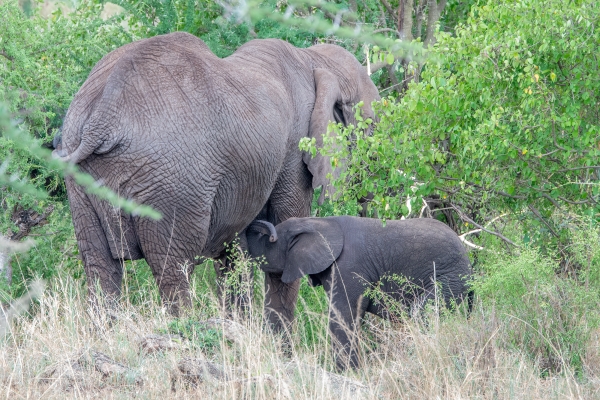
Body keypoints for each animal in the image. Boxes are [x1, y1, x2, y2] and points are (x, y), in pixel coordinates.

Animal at [54, 32, 378, 330]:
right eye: (370, 128)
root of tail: (101, 117)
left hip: (83, 183)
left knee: (100, 266)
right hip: (173, 184)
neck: (315, 60)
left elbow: (237, 249)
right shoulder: (294, 153)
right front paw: (279, 345)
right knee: (173, 269)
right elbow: (285, 230)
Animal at [246, 217, 472, 370]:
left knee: (420, 314)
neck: (318, 222)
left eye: (270, 241)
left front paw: (347, 373)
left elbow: (343, 316)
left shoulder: (349, 267)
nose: (259, 225)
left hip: (449, 278)